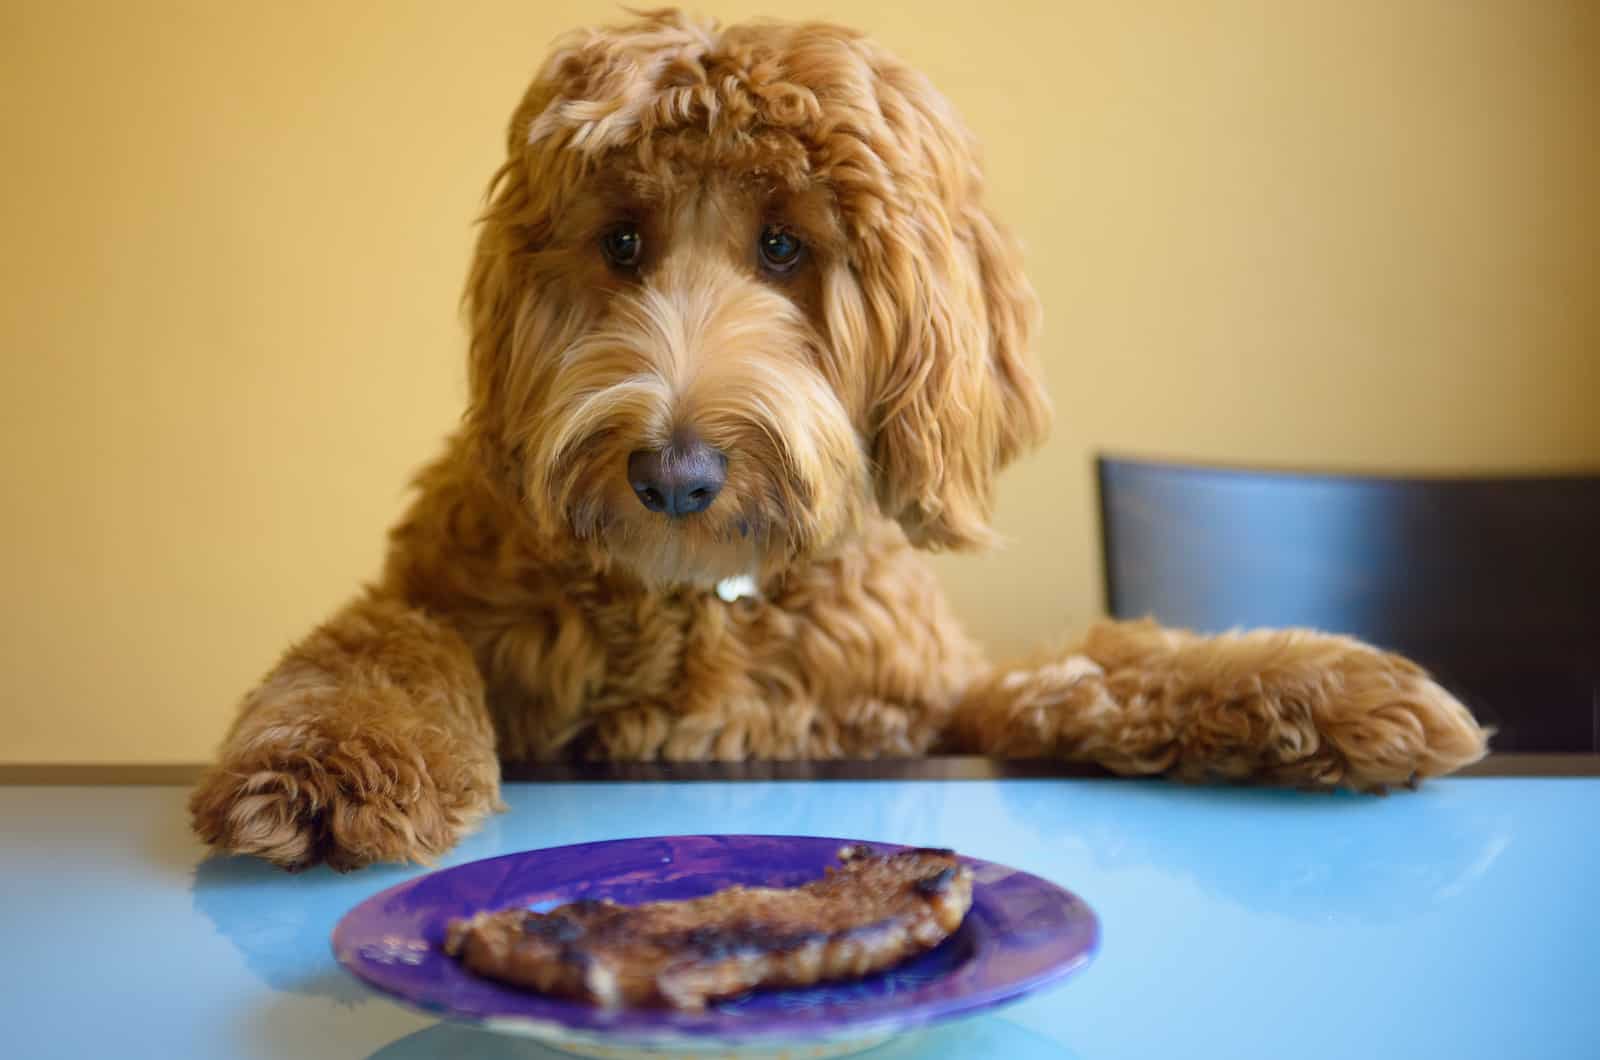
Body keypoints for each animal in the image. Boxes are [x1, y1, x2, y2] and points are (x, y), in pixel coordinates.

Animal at [190, 8, 1484, 871]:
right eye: (620, 241)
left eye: (782, 246)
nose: (672, 473)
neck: (705, 602)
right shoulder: (444, 600)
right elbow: (381, 643)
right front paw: (324, 764)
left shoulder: (925, 701)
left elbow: (1095, 665)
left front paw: (1318, 688)